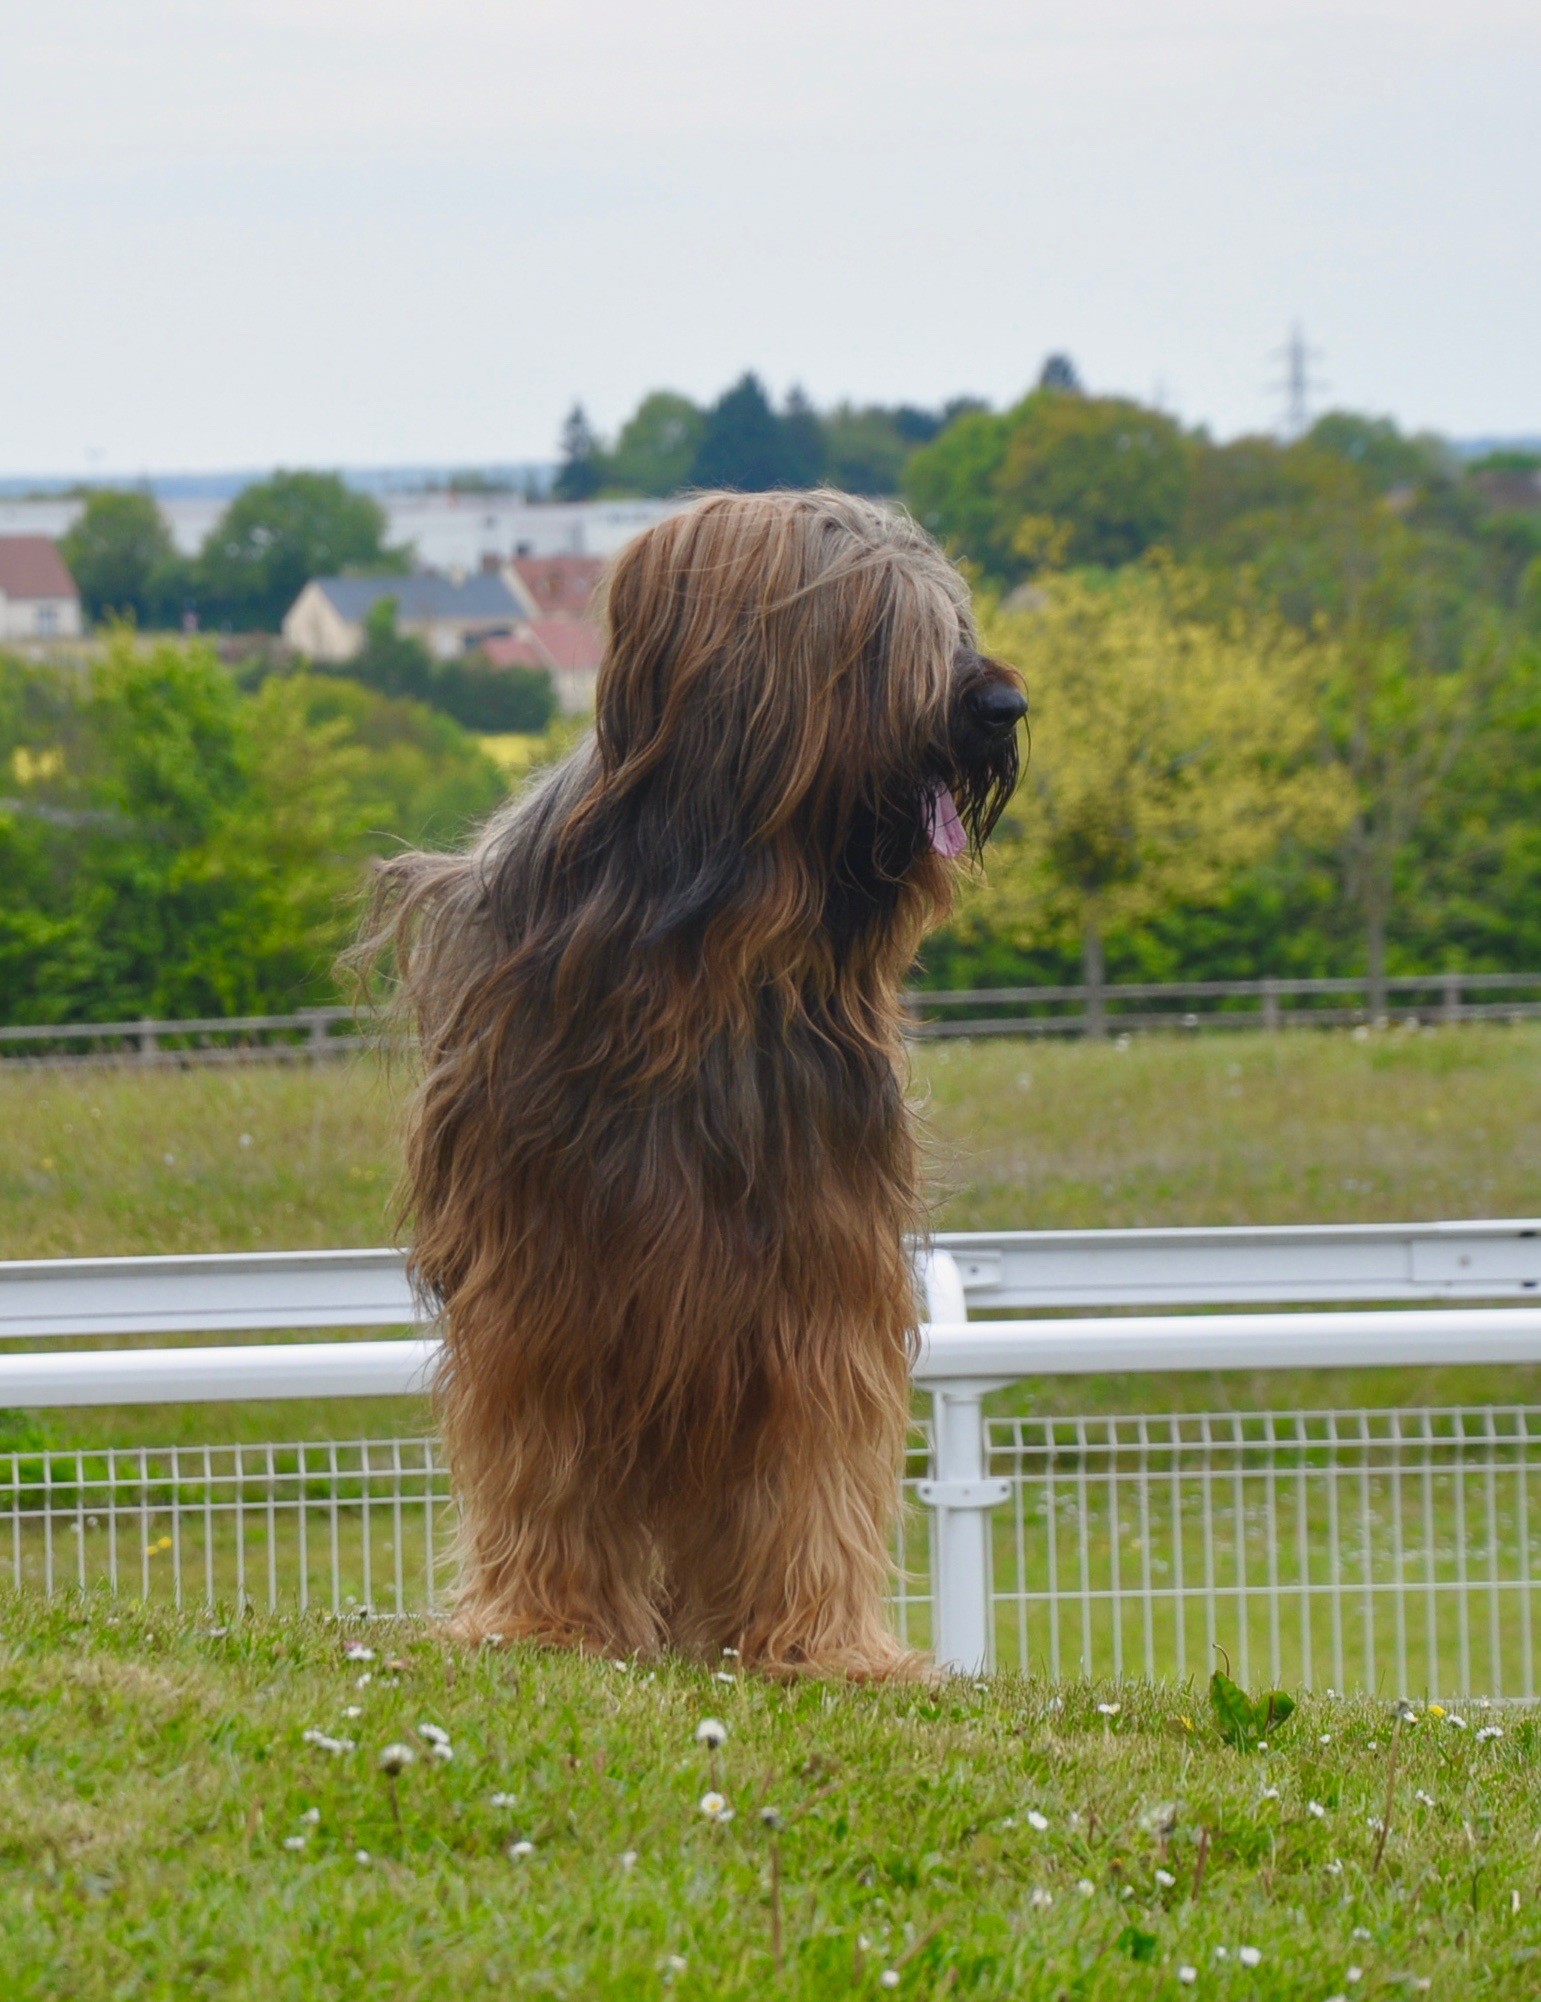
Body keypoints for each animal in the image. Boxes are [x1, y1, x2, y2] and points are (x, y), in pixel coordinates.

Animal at [360, 492, 1020, 1681]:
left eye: (953, 618)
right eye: (876, 625)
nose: (1002, 705)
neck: (713, 951)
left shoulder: (818, 1259)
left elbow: (816, 1449)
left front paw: (824, 1642)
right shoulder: (548, 1256)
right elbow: (544, 1442)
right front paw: (545, 1618)